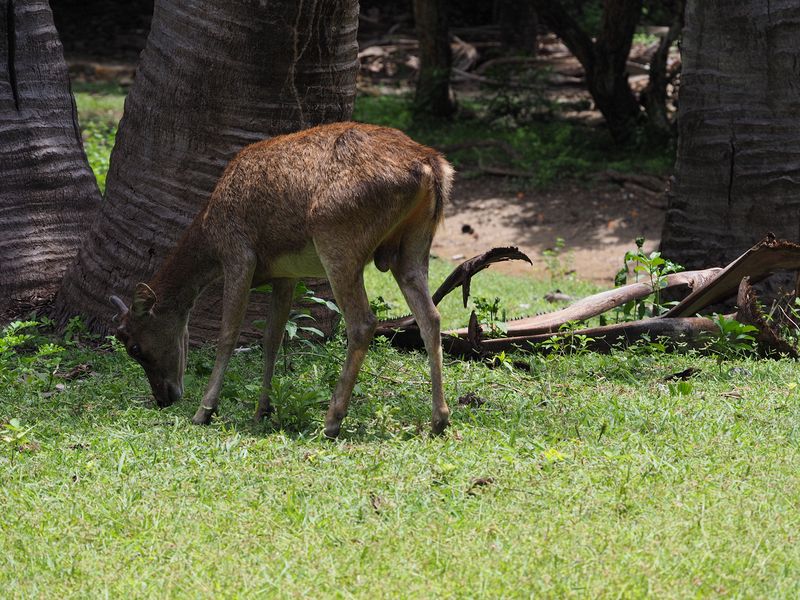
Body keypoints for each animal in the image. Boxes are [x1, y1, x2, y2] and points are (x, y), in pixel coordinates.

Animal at [109, 120, 454, 436]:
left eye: (134, 347)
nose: (164, 398)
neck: (210, 232)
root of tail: (432, 166)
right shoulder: (285, 274)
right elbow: (271, 338)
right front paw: (262, 409)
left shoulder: (239, 255)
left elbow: (228, 335)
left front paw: (204, 411)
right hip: (414, 245)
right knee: (430, 317)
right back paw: (439, 419)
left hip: (337, 240)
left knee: (363, 322)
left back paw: (332, 420)